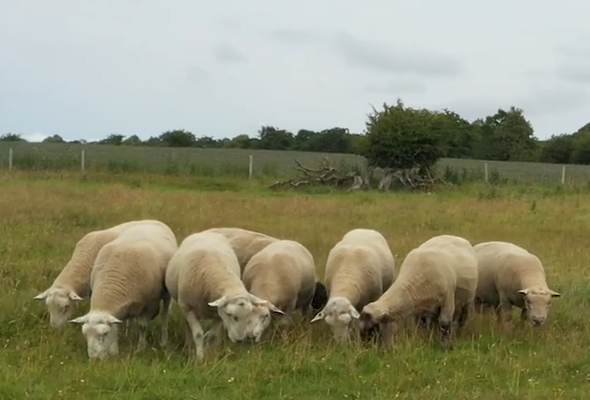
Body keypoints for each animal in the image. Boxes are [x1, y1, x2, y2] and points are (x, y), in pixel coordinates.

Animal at [68, 220, 177, 360]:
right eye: (85, 335)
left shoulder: (150, 305)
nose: (94, 359)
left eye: (104, 334)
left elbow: (142, 326)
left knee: (164, 316)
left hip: (166, 294)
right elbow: (116, 326)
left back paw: (163, 340)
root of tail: (155, 221)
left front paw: (140, 348)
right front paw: (115, 350)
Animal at [164, 231, 270, 360]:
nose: (240, 340)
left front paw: (210, 355)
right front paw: (199, 357)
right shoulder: (188, 307)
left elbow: (212, 335)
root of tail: (206, 232)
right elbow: (198, 334)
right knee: (188, 327)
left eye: (249, 314)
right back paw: (188, 346)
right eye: (230, 314)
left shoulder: (219, 314)